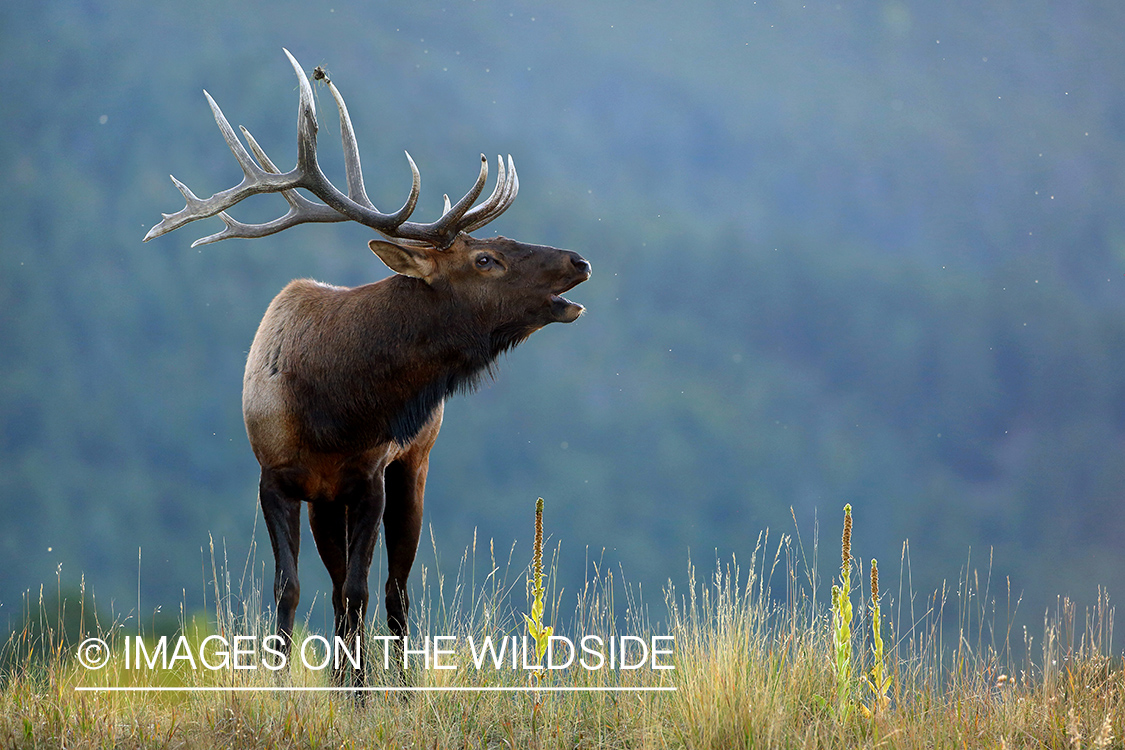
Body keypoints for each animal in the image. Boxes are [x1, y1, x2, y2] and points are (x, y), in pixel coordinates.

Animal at [142, 48, 589, 688]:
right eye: (486, 258)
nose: (578, 261)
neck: (329, 407)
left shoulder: (371, 474)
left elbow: (360, 590)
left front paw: (360, 692)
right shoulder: (275, 477)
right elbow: (291, 588)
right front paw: (285, 679)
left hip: (414, 464)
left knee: (395, 590)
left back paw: (397, 684)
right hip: (328, 501)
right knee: (341, 589)